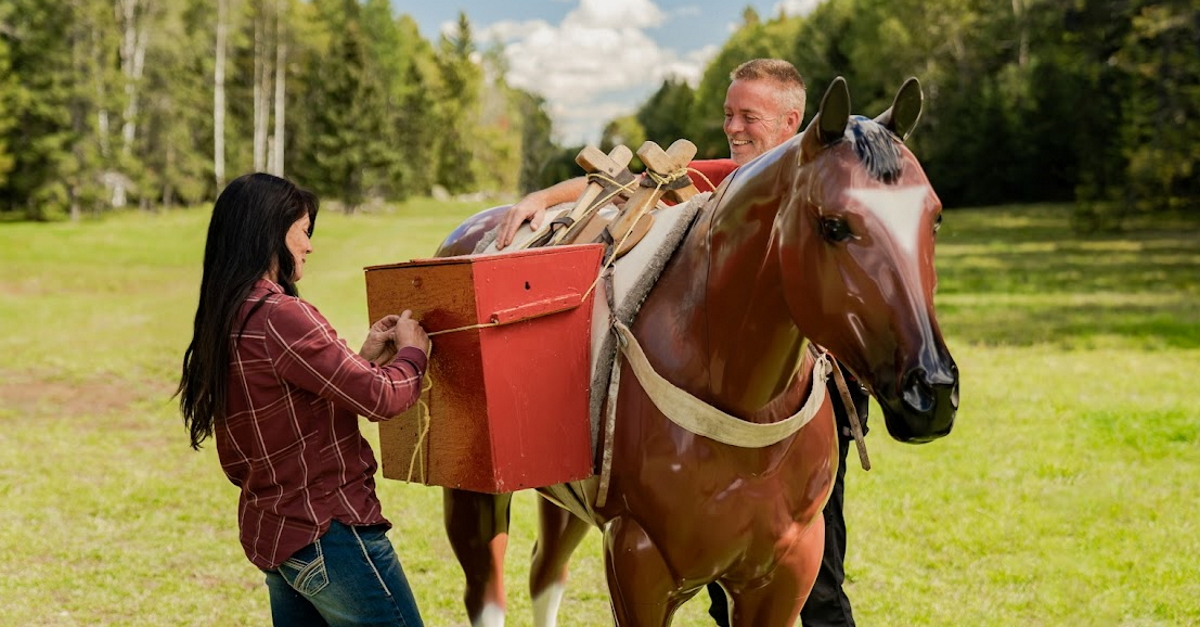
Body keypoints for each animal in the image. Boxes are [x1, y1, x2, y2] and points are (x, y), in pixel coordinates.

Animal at [432, 78, 955, 624]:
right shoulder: (635, 561)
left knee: (545, 573)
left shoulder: (787, 571)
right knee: (487, 594)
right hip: (471, 493)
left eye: (935, 218)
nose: (933, 392)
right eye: (833, 225)